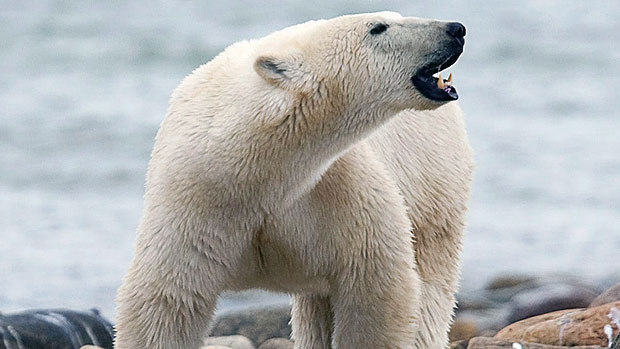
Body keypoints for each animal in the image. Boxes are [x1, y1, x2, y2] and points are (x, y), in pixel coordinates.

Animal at [114, 10, 470, 348]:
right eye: (378, 27)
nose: (456, 29)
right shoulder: (196, 201)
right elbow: (167, 301)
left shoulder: (339, 192)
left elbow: (374, 287)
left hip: (433, 186)